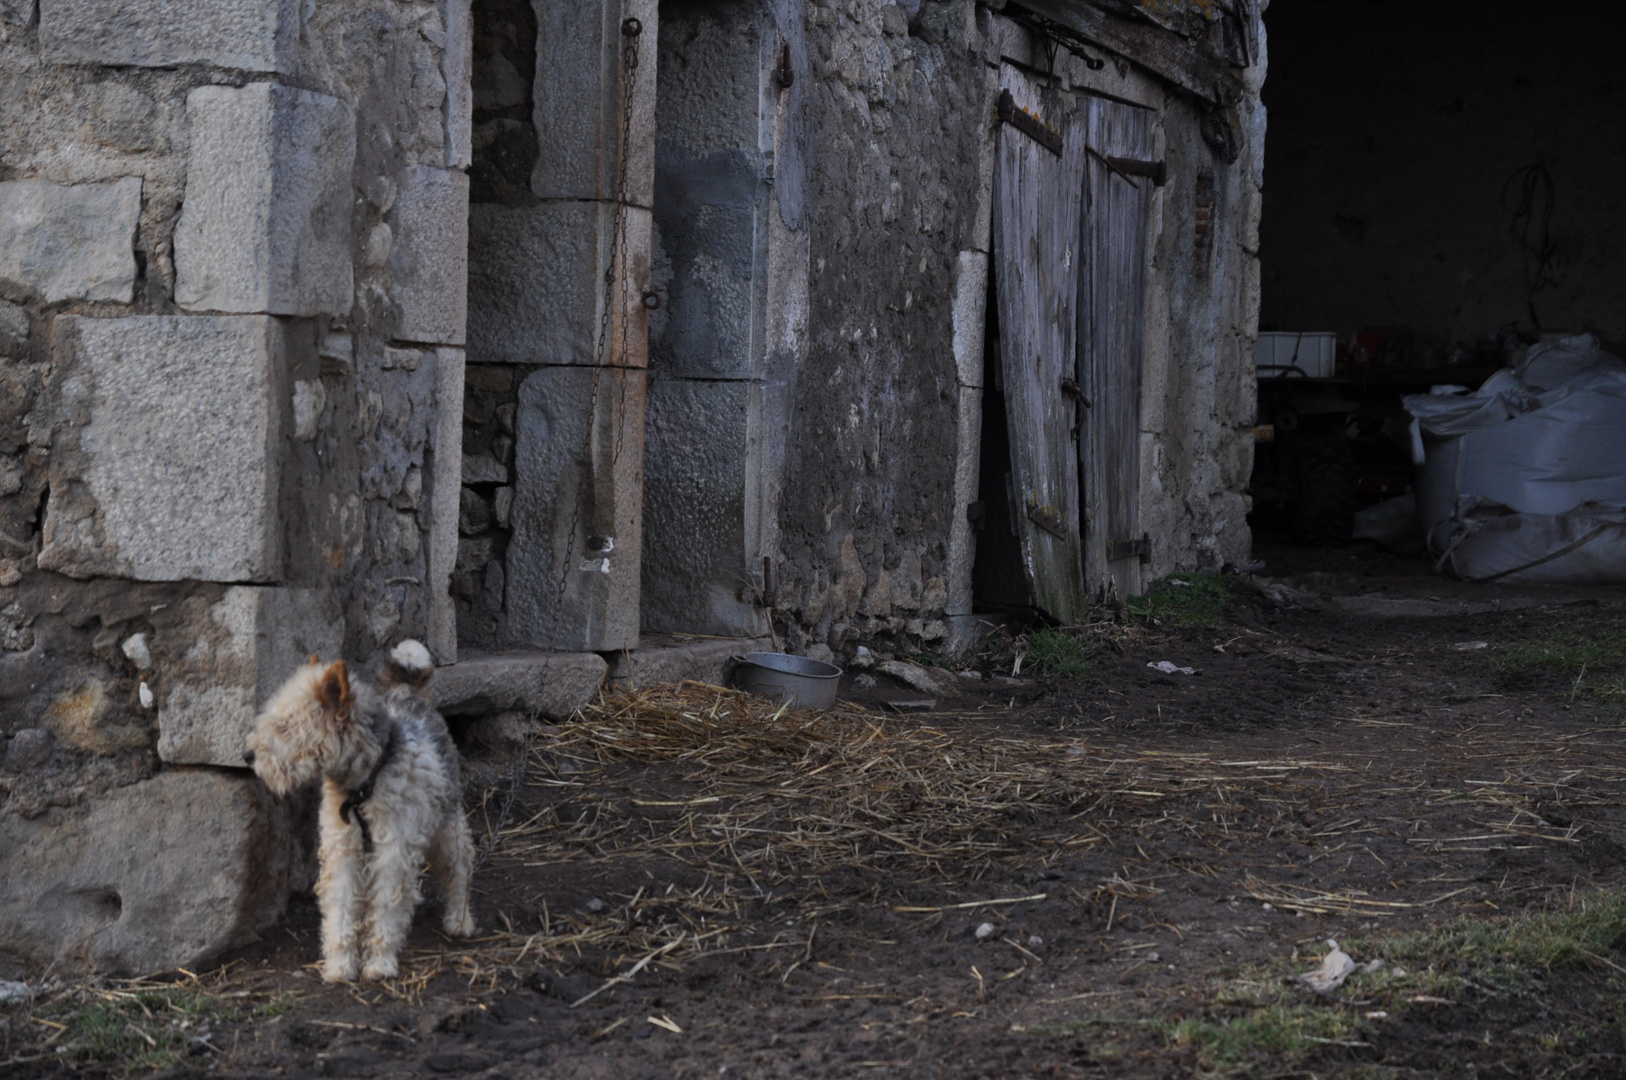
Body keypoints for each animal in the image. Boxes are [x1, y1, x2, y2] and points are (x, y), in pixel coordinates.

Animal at [243, 640, 474, 988]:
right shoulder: (342, 850)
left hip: (447, 824)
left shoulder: (393, 853)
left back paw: (459, 919)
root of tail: (409, 694)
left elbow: (386, 909)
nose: (247, 755)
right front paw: (340, 966)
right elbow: (340, 909)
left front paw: (379, 963)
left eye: (285, 726)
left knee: (459, 868)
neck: (363, 786)